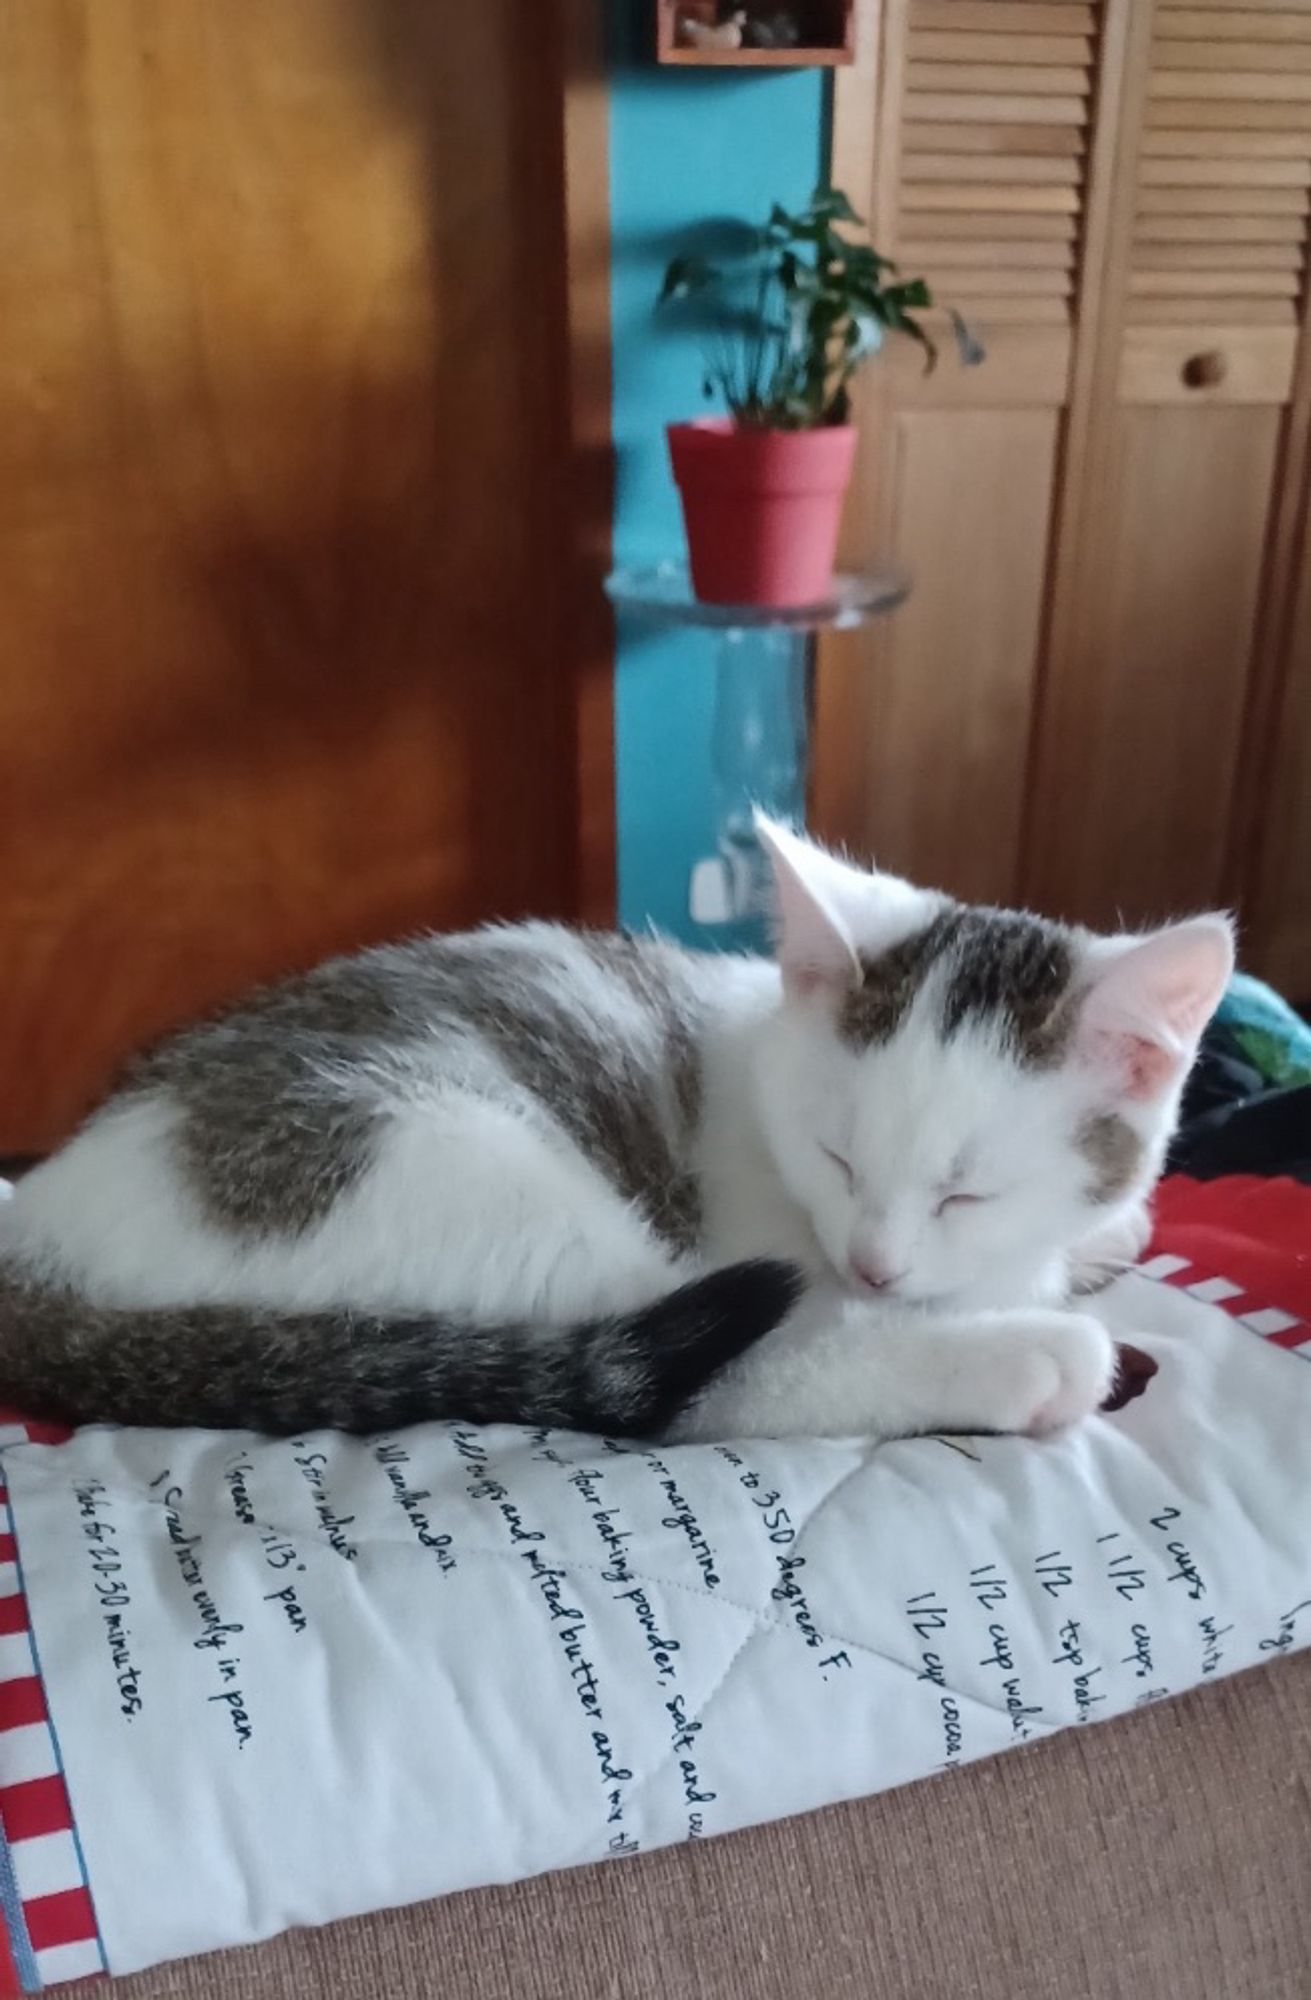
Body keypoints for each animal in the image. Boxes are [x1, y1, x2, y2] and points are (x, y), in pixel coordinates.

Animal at [0, 820, 1231, 1448]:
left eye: (966, 1190)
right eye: (835, 1156)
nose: (873, 1265)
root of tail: (39, 1233)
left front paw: (1110, 1234)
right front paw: (1013, 1317)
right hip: (438, 1171)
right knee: (707, 1373)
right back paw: (1021, 1361)